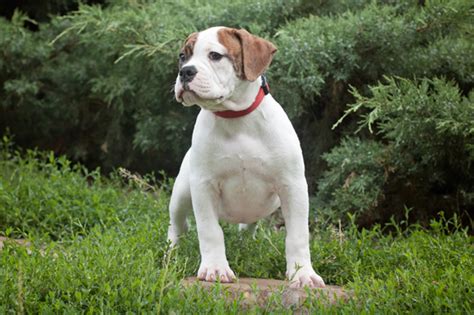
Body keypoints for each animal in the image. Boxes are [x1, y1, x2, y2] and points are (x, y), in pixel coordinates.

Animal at [168, 27, 326, 288]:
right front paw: (215, 269)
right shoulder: (203, 186)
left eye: (215, 55)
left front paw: (302, 274)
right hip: (181, 193)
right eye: (183, 56)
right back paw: (171, 252)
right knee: (178, 225)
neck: (236, 118)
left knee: (247, 227)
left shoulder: (293, 186)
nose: (185, 72)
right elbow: (210, 231)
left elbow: (297, 235)